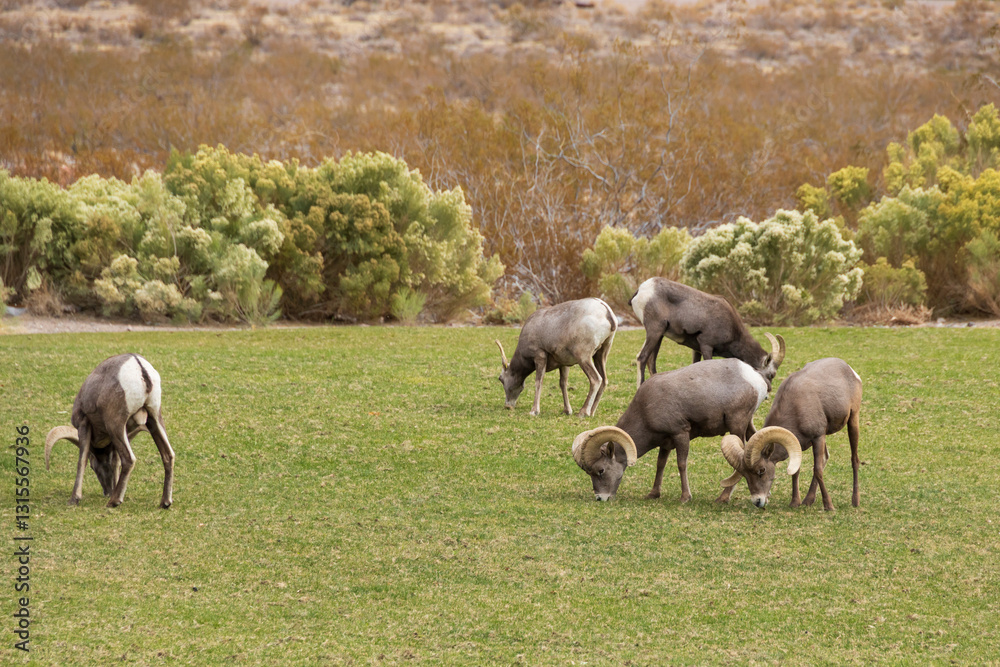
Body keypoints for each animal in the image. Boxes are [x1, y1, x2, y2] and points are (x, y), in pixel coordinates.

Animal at [45, 353, 174, 508]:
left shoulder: (84, 424)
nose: (107, 491)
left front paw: (74, 499)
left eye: (93, 467)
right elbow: (115, 461)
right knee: (168, 455)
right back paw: (165, 502)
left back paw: (114, 501)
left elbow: (81, 460)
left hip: (115, 425)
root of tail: (139, 366)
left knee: (129, 459)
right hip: (154, 419)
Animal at [571, 357, 800, 502]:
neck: (645, 410)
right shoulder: (665, 442)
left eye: (601, 470)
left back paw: (723, 497)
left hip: (737, 425)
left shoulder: (681, 434)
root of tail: (756, 379)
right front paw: (653, 494)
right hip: (748, 424)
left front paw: (685, 497)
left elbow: (681, 464)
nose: (600, 498)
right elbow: (660, 465)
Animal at [628, 277, 785, 388]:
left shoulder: (696, 349)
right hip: (655, 331)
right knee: (642, 358)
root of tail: (642, 290)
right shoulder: (706, 346)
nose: (769, 389)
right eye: (771, 374)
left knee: (651, 361)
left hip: (659, 335)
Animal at [716, 357, 862, 510]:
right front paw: (795, 503)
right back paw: (808, 500)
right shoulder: (797, 444)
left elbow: (817, 470)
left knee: (854, 459)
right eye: (745, 475)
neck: (796, 409)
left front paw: (829, 506)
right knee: (824, 458)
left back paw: (855, 501)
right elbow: (796, 471)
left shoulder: (818, 437)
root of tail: (850, 369)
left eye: (761, 470)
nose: (757, 501)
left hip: (853, 419)